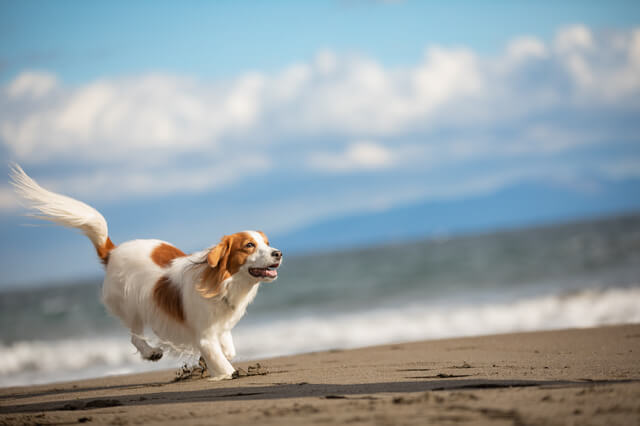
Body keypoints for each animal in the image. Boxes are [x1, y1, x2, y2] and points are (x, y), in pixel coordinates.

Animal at [8, 165, 284, 382]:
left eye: (267, 242)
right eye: (249, 245)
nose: (279, 253)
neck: (224, 282)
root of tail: (112, 250)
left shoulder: (221, 328)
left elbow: (227, 349)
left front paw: (217, 359)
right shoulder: (204, 336)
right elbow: (221, 360)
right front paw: (225, 373)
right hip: (131, 306)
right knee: (134, 337)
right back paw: (151, 352)